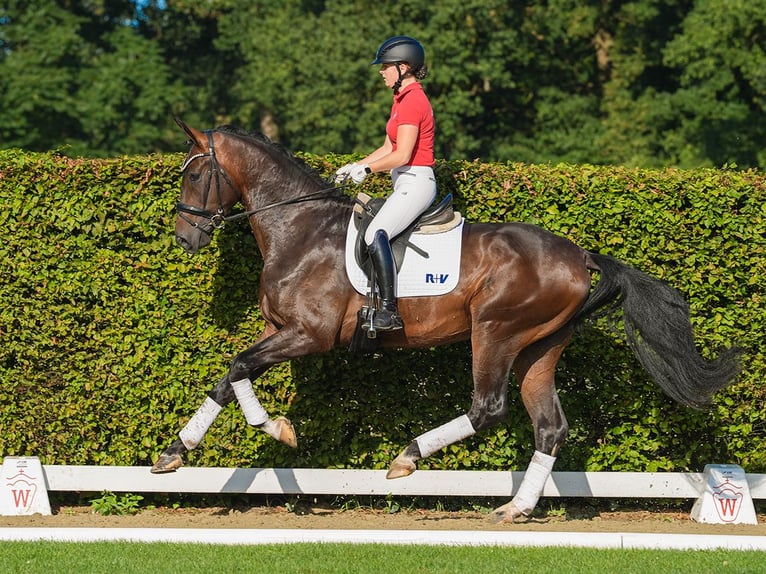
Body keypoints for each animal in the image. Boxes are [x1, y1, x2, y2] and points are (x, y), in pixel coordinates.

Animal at [152, 119, 744, 524]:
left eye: (196, 174)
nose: (184, 238)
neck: (298, 227)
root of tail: (580, 256)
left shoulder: (308, 336)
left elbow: (237, 366)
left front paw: (274, 427)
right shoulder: (279, 331)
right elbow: (230, 376)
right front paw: (175, 453)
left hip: (496, 332)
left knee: (488, 409)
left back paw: (407, 458)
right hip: (539, 347)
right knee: (549, 426)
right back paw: (515, 509)